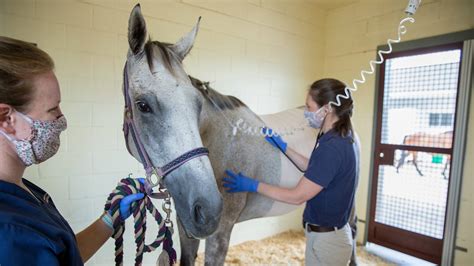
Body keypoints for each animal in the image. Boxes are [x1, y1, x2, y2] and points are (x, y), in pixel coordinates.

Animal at [124, 4, 362, 266]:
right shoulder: (187, 225)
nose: (209, 209)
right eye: (143, 105)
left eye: (198, 105)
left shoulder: (220, 232)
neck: (218, 141)